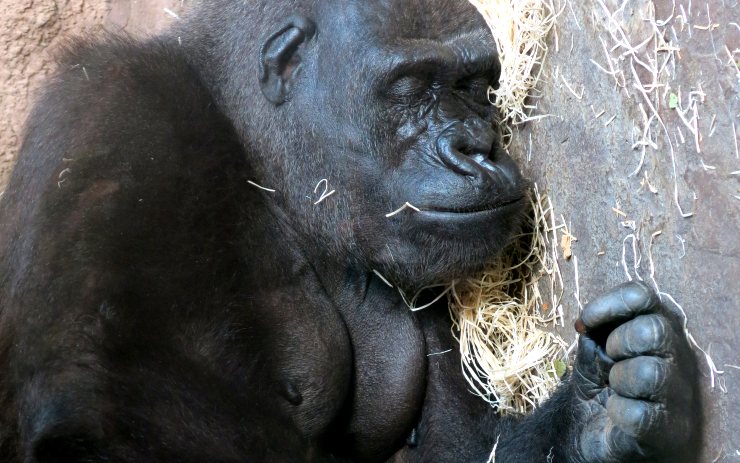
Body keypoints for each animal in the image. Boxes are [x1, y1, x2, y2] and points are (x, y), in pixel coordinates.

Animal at [0, 0, 700, 463]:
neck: (254, 157)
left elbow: (458, 445)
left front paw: (593, 415)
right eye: (411, 88)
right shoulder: (113, 121)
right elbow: (92, 409)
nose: (477, 147)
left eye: (475, 86)